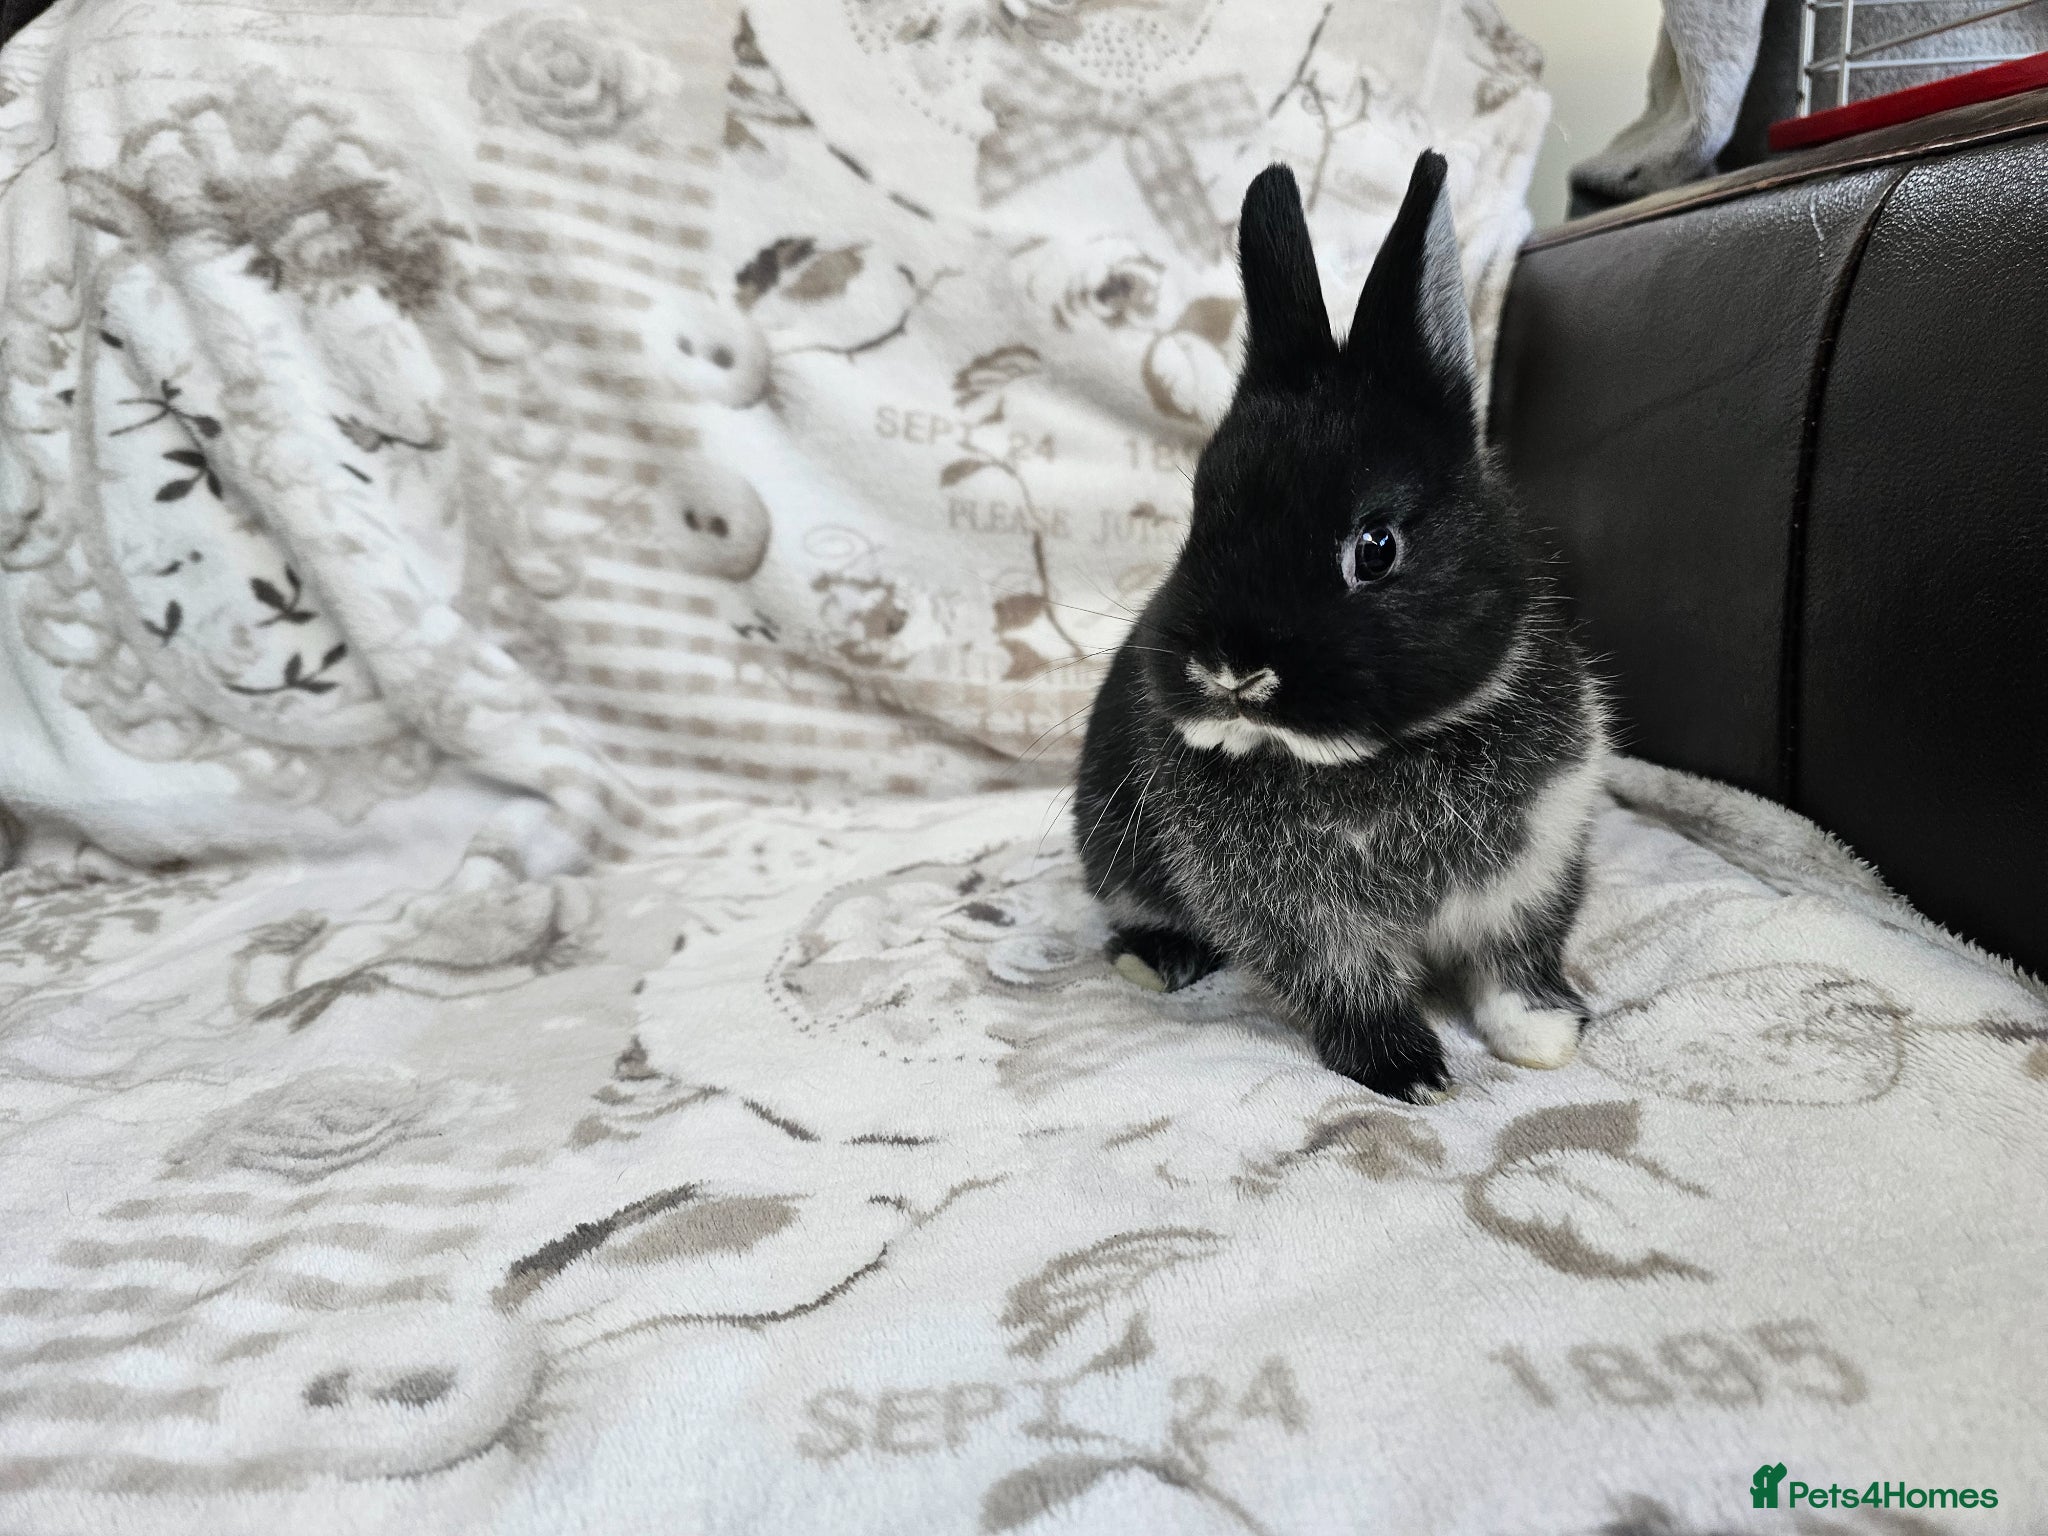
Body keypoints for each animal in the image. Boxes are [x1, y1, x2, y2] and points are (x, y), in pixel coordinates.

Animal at [1073, 151, 1607, 1104]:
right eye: (1200, 517)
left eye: (1377, 546)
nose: (1233, 672)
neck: (1383, 758)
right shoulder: (1301, 919)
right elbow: (1349, 982)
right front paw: (1411, 1071)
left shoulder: (1538, 865)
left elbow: (1514, 961)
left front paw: (1542, 1037)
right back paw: (1153, 961)